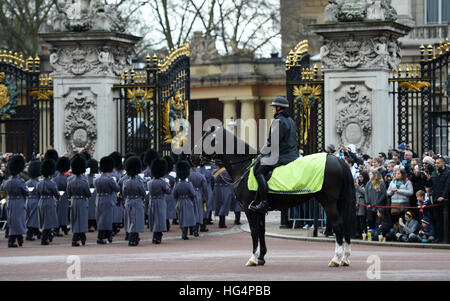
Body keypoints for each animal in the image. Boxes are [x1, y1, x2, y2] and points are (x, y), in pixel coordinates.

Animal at [199, 125, 356, 266]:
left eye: (205, 137)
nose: (193, 156)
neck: (244, 168)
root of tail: (337, 160)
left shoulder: (249, 208)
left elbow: (254, 231)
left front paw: (253, 258)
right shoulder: (259, 210)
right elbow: (261, 231)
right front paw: (261, 257)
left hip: (328, 202)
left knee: (338, 225)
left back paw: (336, 259)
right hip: (338, 202)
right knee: (345, 224)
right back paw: (345, 258)